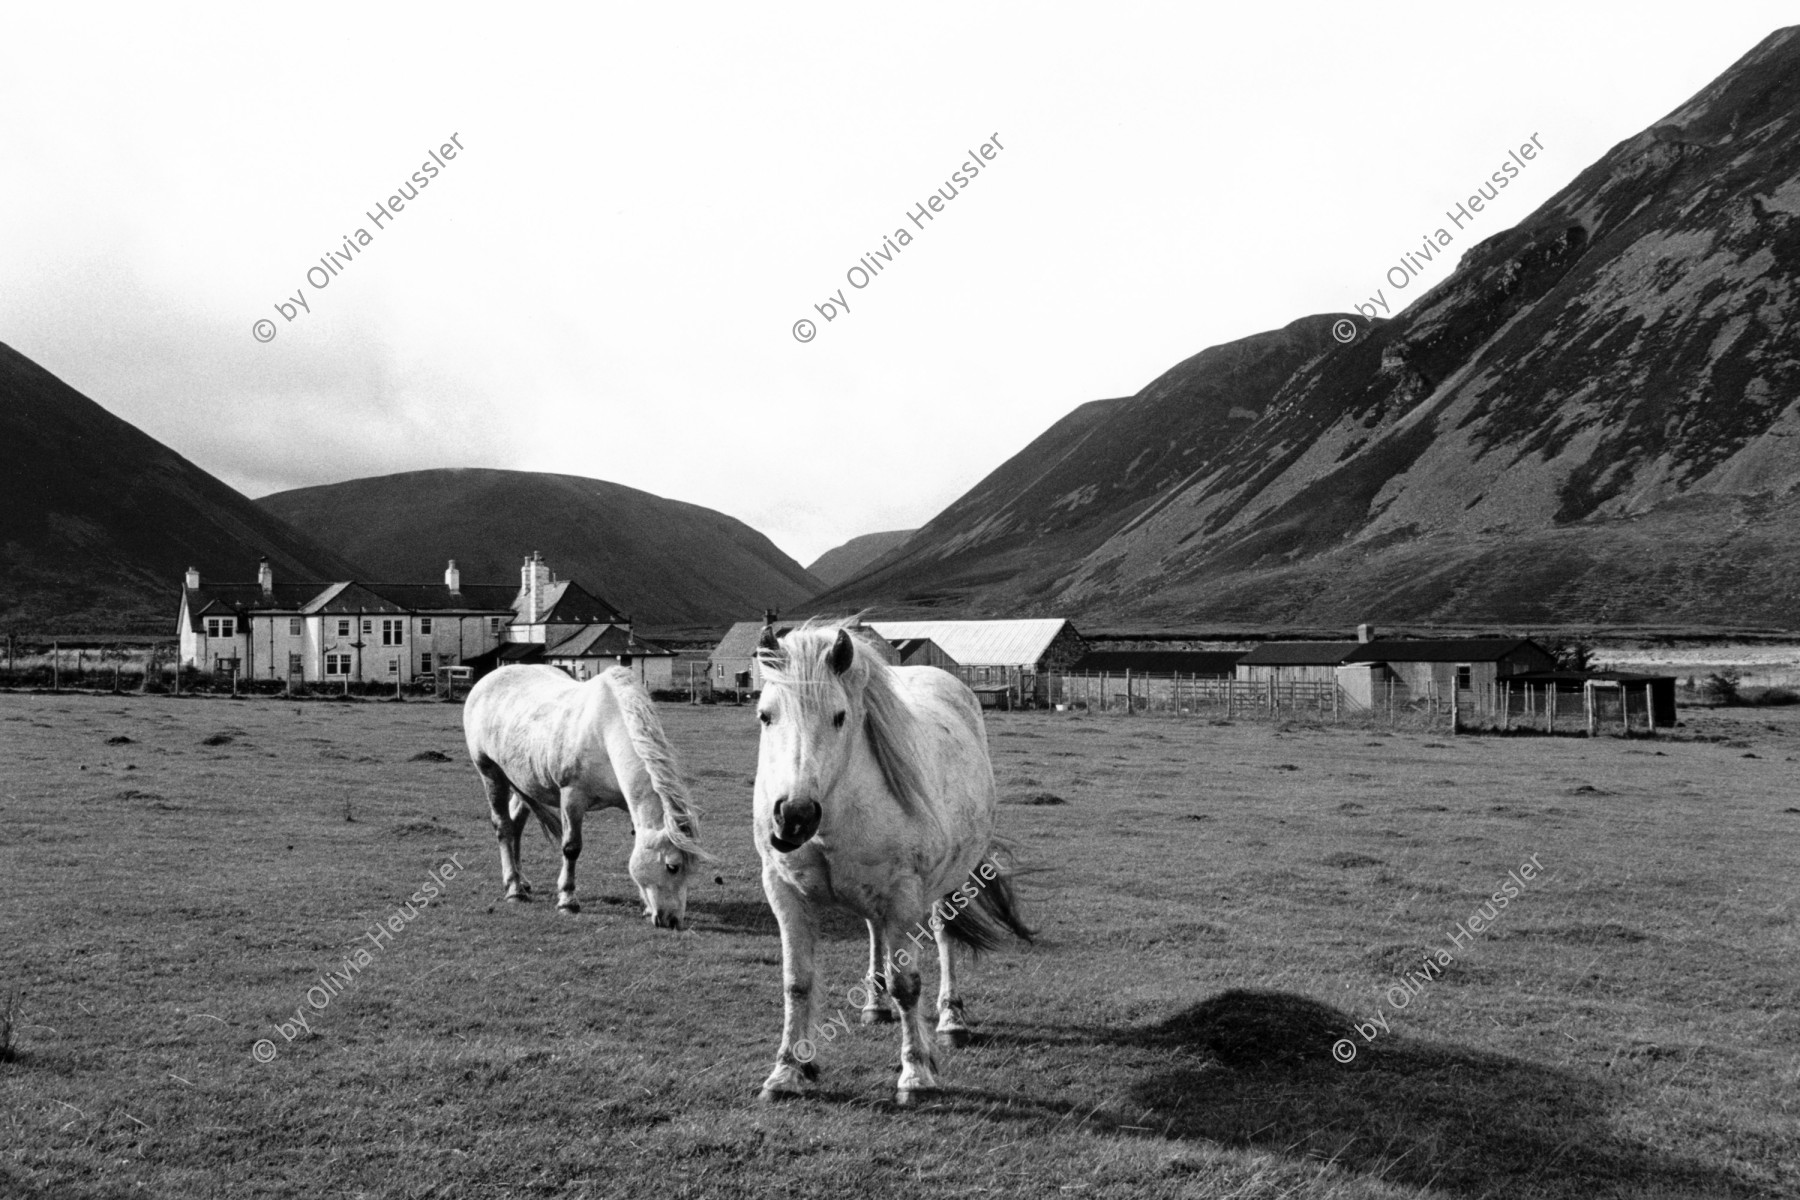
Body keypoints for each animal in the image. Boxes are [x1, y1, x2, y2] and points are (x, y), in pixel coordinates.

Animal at [460, 665, 705, 928]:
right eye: (672, 867)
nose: (673, 921)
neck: (605, 732)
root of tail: (488, 678)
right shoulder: (572, 797)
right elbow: (571, 848)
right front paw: (567, 901)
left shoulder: (627, 803)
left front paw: (647, 907)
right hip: (491, 772)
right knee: (503, 826)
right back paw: (514, 888)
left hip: (523, 780)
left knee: (516, 825)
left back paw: (522, 881)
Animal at [748, 626, 1029, 1101]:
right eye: (766, 715)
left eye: (840, 716)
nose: (794, 816)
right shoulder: (784, 891)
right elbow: (796, 983)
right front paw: (786, 1071)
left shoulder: (903, 895)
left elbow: (907, 985)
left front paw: (915, 1073)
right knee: (873, 931)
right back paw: (874, 1005)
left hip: (941, 887)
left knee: (943, 938)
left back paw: (951, 1020)